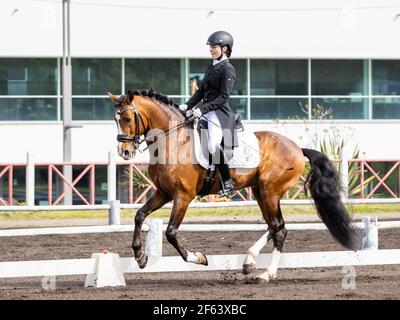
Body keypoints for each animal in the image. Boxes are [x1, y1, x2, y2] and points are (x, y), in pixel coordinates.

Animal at [108, 89, 360, 282]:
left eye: (128, 119)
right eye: (116, 120)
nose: (124, 152)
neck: (174, 141)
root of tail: (297, 148)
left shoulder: (183, 196)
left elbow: (170, 232)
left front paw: (198, 258)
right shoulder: (164, 192)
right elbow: (139, 215)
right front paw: (140, 257)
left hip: (270, 190)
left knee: (278, 227)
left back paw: (266, 274)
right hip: (260, 191)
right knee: (276, 226)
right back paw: (250, 263)